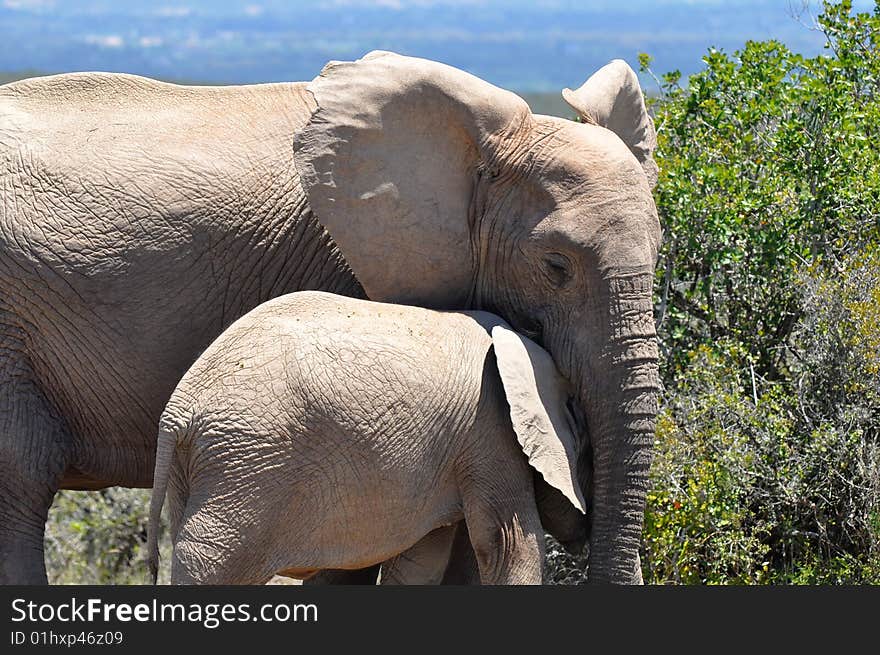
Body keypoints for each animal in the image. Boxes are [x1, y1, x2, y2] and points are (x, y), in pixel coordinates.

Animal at [148, 290, 588, 588]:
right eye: (582, 428)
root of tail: (178, 410)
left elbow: (422, 559)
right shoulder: (491, 426)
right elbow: (508, 543)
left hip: (204, 469)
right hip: (247, 467)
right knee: (209, 566)